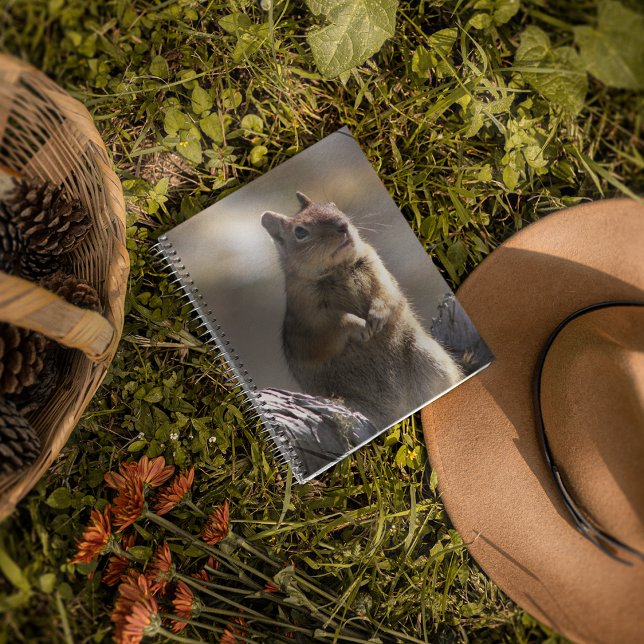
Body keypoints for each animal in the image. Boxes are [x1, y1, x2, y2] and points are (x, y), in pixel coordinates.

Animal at [261, 192, 462, 426]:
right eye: (300, 232)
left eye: (332, 205)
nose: (342, 225)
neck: (339, 269)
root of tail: (400, 409)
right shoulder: (309, 316)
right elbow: (332, 325)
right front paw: (360, 326)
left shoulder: (378, 268)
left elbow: (388, 294)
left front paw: (377, 315)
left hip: (432, 360)